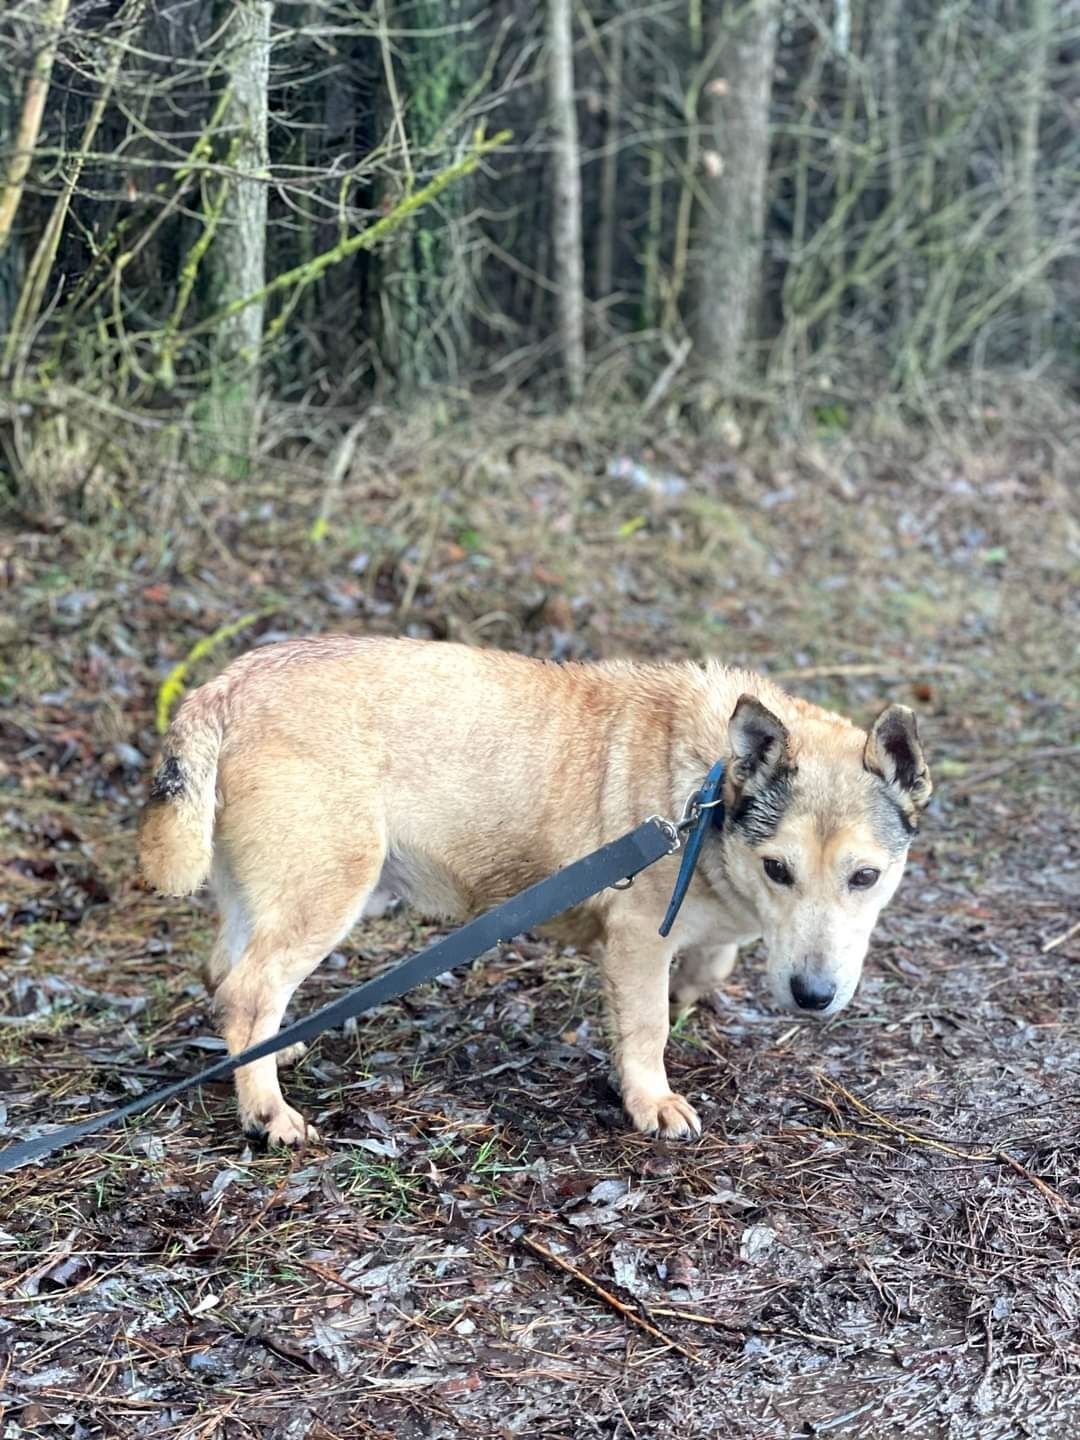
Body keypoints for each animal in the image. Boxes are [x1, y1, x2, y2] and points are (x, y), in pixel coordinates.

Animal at [137, 642, 933, 1146]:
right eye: (779, 869)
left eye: (866, 877)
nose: (813, 998)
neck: (706, 792)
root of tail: (226, 685)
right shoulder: (639, 938)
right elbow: (647, 1027)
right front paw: (650, 1099)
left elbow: (708, 971)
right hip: (329, 889)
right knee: (247, 991)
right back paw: (267, 1112)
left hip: (268, 893)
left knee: (227, 978)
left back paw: (268, 1055)